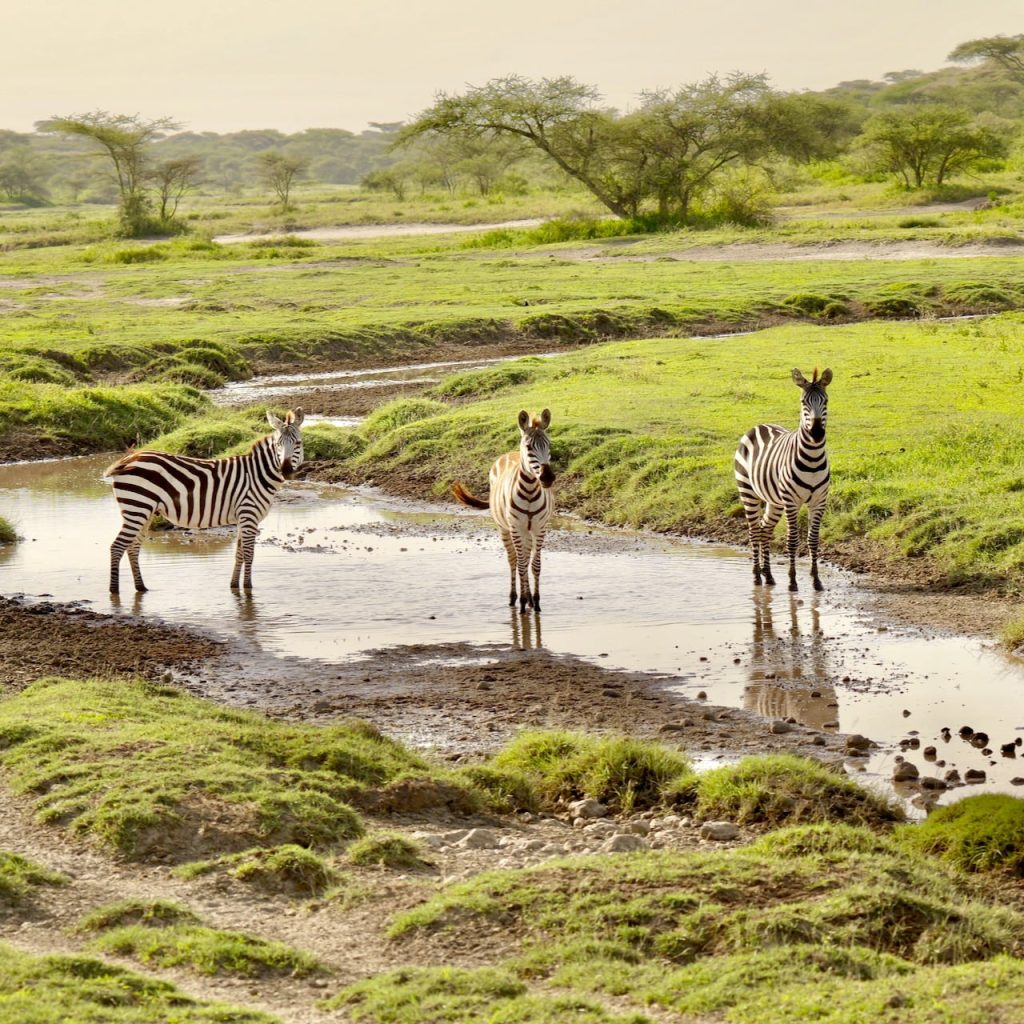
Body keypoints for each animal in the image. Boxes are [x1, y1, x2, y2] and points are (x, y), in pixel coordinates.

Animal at [104, 409, 304, 593]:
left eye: (298, 443)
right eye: (278, 445)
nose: (286, 470)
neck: (258, 474)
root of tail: (129, 458)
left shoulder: (243, 518)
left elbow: (238, 554)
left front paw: (234, 586)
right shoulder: (249, 514)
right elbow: (249, 554)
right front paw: (248, 588)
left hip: (144, 512)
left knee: (132, 547)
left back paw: (141, 587)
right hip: (137, 508)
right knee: (117, 547)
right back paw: (114, 591)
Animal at [452, 409, 555, 614]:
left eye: (548, 444)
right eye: (529, 447)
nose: (547, 478)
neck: (530, 492)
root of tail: (508, 453)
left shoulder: (539, 528)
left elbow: (535, 565)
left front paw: (536, 602)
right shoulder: (515, 528)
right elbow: (521, 565)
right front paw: (523, 603)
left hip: (526, 532)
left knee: (524, 557)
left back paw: (529, 599)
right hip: (505, 529)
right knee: (513, 560)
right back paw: (515, 598)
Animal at [734, 368, 832, 592]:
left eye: (826, 401)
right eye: (804, 402)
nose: (816, 433)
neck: (813, 458)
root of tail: (759, 426)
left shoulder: (819, 501)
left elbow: (813, 540)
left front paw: (816, 580)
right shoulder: (792, 502)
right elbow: (793, 540)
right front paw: (792, 581)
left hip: (775, 501)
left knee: (764, 529)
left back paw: (768, 575)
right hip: (748, 492)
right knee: (754, 531)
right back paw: (756, 576)